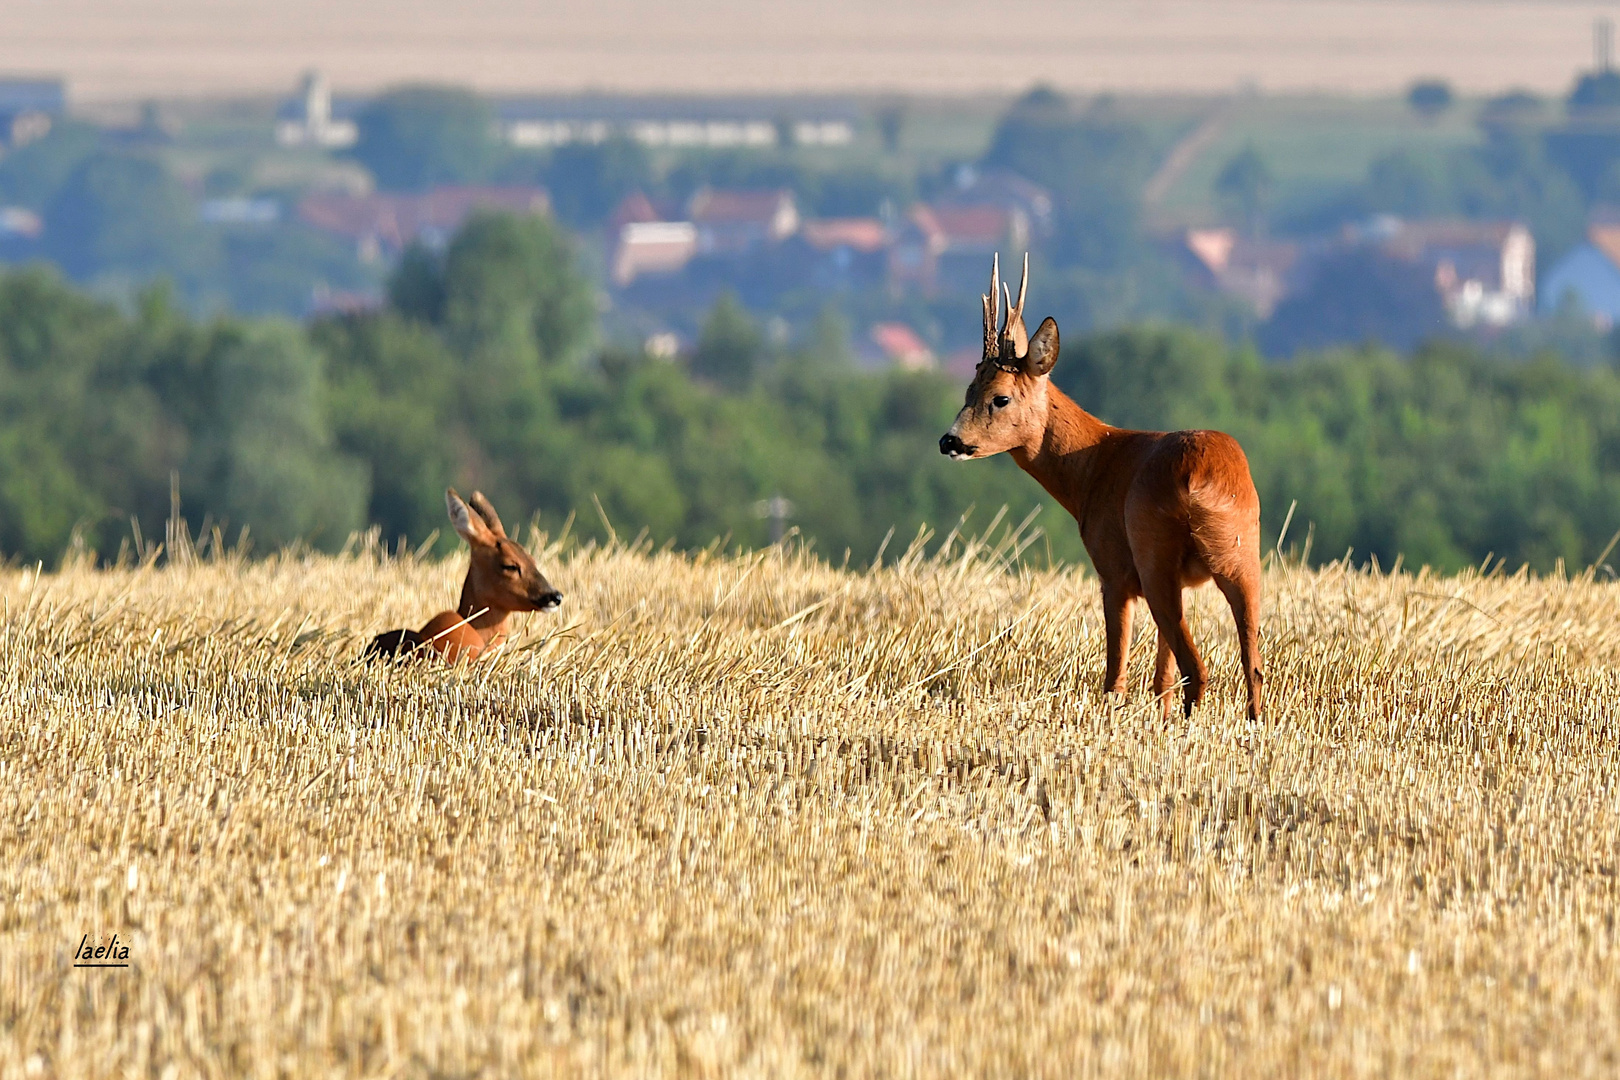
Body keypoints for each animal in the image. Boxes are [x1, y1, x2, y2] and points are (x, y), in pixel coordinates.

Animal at [939, 257, 1263, 722]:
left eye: (999, 398)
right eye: (968, 390)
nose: (949, 441)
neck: (1091, 468)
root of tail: (1200, 478)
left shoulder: (1113, 568)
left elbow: (1116, 675)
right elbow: (1161, 676)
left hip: (1153, 551)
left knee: (1196, 666)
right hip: (1242, 551)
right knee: (1250, 662)